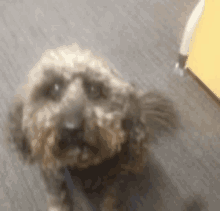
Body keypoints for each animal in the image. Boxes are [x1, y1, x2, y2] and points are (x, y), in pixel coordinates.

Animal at [6, 43, 180, 211]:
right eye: (55, 88)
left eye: (95, 90)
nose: (71, 128)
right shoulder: (52, 169)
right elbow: (57, 196)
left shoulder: (117, 177)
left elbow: (112, 200)